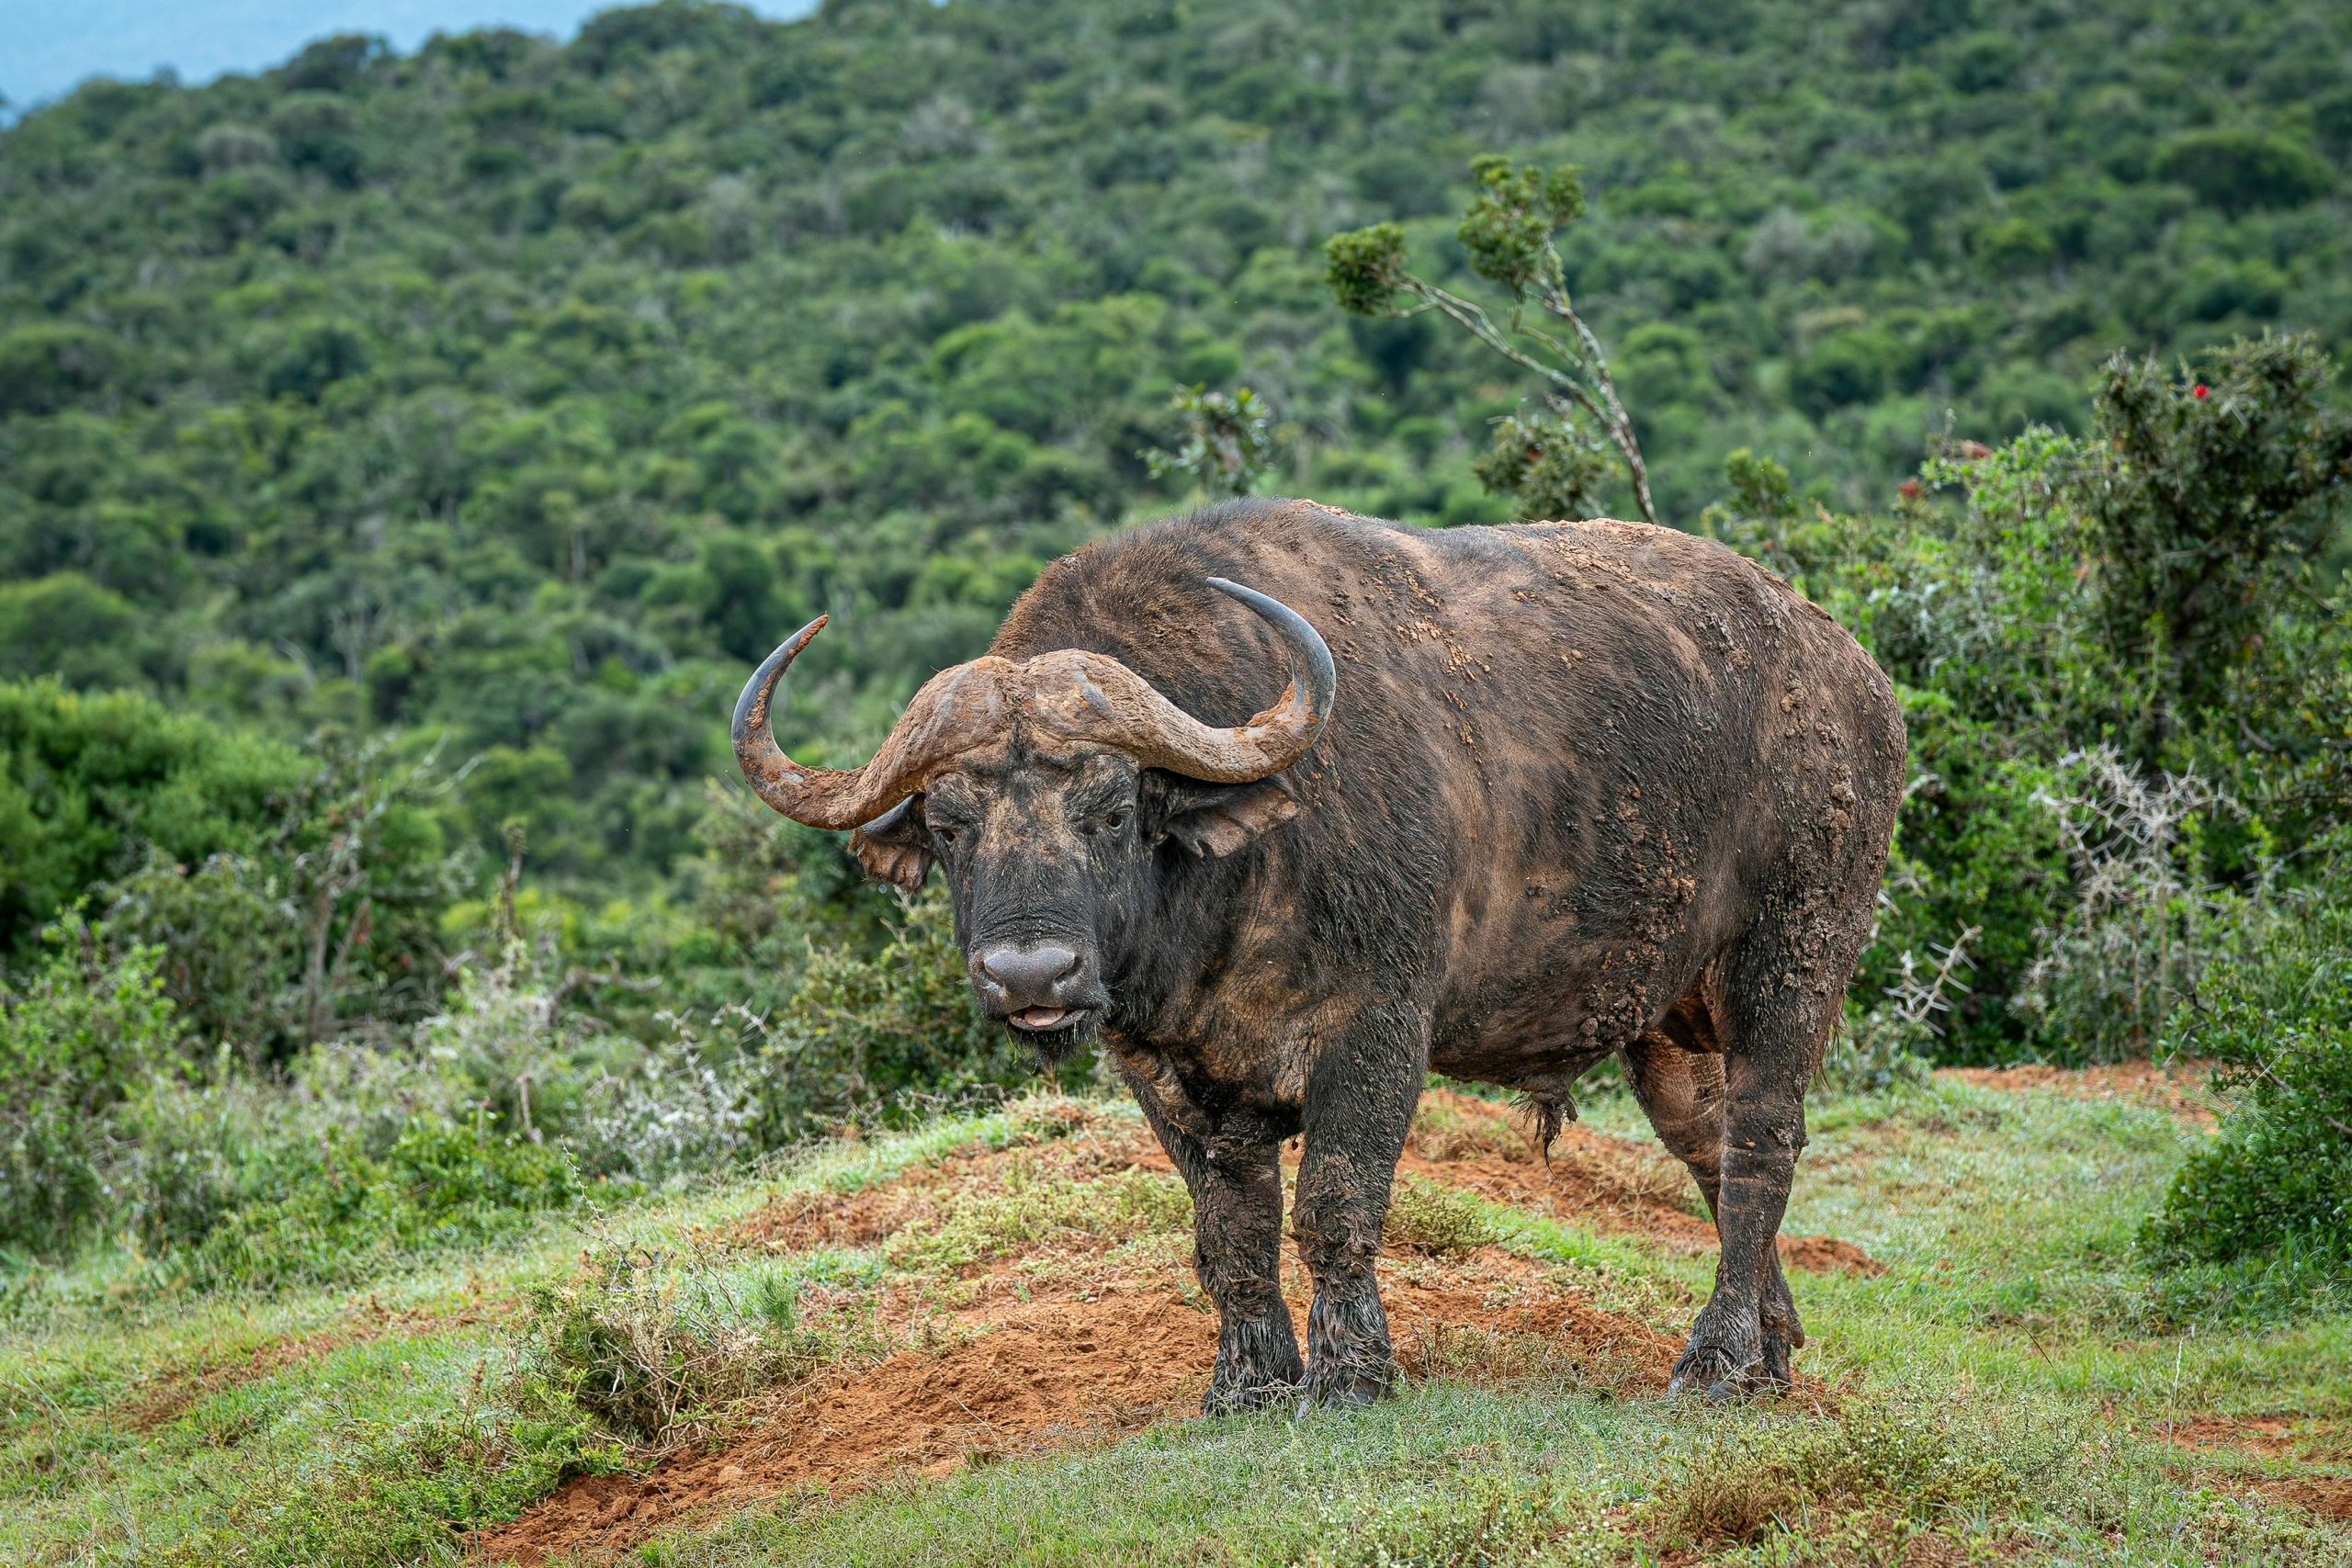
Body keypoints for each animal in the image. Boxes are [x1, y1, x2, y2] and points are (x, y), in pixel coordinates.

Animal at [733, 499, 1904, 1408]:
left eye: (1110, 810)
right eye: (948, 824)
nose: (1032, 977)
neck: (1230, 899)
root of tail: (1852, 675)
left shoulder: (1377, 1032)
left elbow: (1336, 1204)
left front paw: (1349, 1376)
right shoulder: (1163, 1070)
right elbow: (1231, 1234)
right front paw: (1248, 1383)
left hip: (1793, 956)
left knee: (1762, 1143)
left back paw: (1715, 1361)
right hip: (1666, 1021)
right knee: (1706, 1147)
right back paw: (1771, 1350)